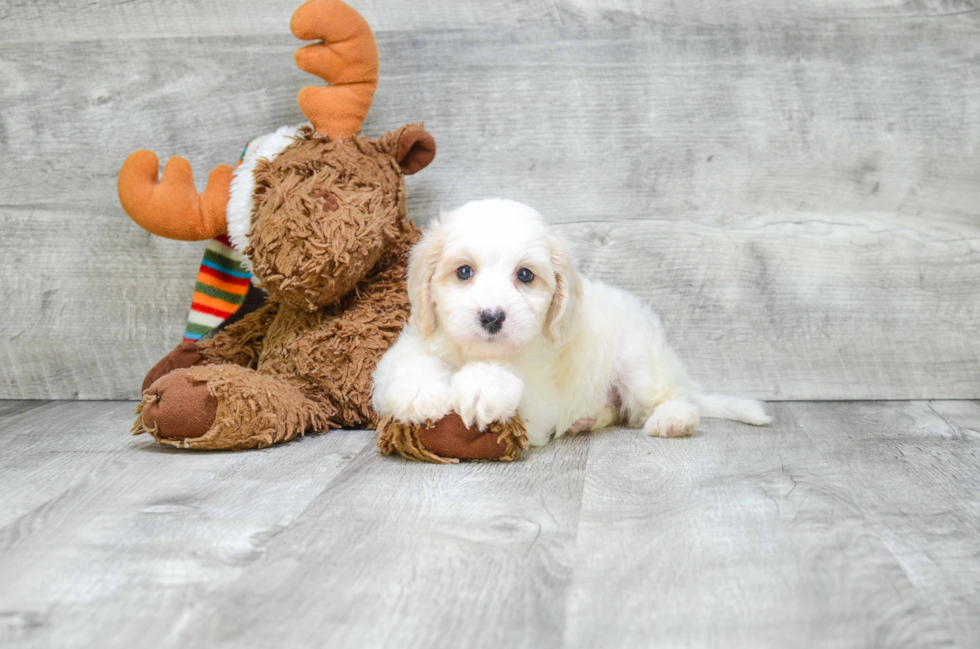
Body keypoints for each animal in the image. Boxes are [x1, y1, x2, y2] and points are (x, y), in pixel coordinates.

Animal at [372, 197, 768, 446]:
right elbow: (407, 364)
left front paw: (481, 385)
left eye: (525, 275)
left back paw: (672, 421)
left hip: (640, 362)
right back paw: (587, 419)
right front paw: (419, 394)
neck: (477, 352)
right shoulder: (414, 340)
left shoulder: (539, 401)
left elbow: (508, 383)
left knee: (667, 401)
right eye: (464, 272)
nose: (492, 317)